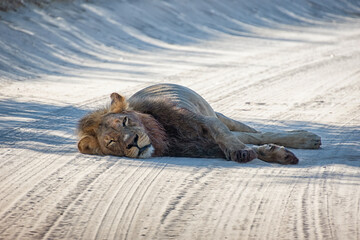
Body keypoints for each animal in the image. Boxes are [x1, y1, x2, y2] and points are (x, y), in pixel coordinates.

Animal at [78, 83, 320, 164]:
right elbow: (252, 149)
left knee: (255, 133)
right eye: (112, 142)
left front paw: (243, 152)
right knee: (250, 137)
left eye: (126, 121)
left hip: (219, 115)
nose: (133, 142)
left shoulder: (206, 121)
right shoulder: (202, 148)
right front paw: (278, 155)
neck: (164, 135)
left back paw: (309, 138)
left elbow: (228, 138)